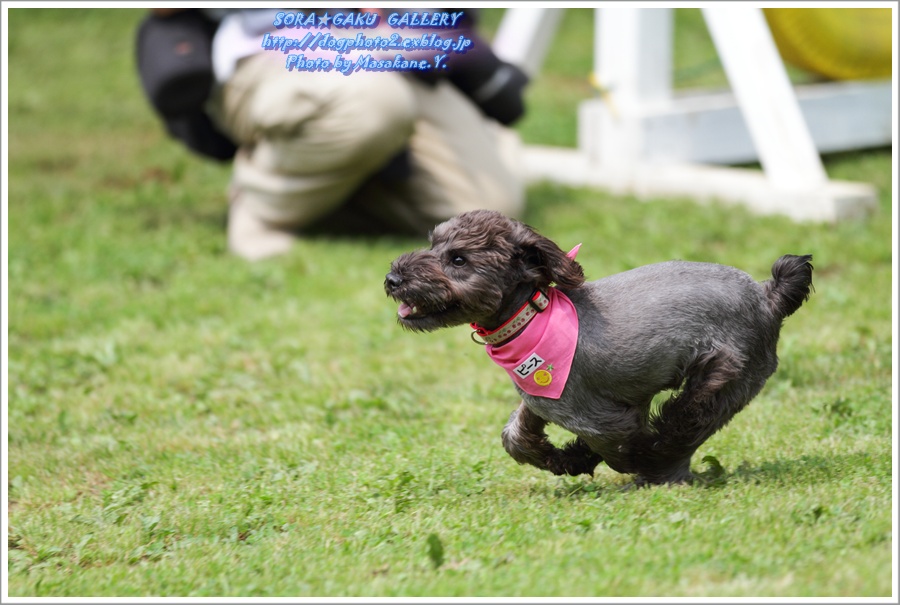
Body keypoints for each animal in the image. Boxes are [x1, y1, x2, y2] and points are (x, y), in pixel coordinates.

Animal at [384, 210, 812, 484]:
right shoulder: (543, 400)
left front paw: (580, 459)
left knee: (682, 427)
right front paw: (563, 459)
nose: (392, 279)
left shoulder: (599, 417)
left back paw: (660, 469)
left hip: (725, 377)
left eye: (458, 259)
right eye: (433, 243)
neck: (532, 316)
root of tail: (767, 296)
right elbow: (516, 438)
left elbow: (619, 448)